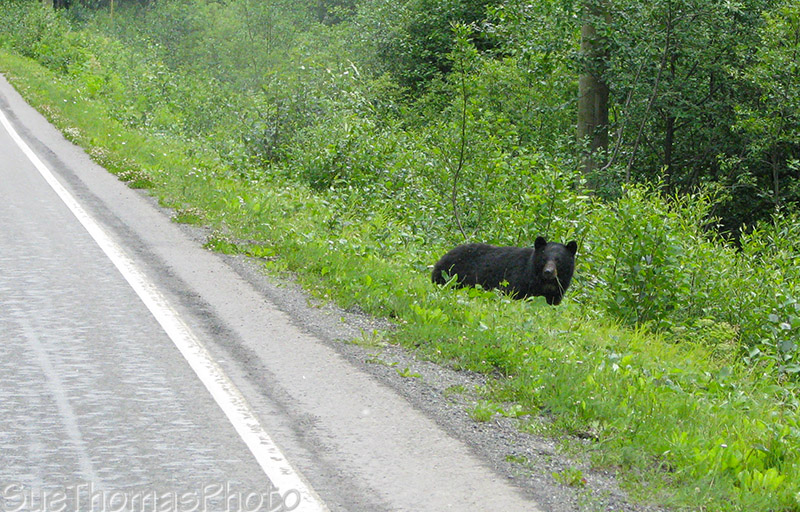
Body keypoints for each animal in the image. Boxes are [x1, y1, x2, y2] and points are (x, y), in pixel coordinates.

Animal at [432, 236, 578, 305]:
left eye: (559, 260)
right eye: (544, 258)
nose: (548, 272)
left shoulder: (556, 291)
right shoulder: (518, 281)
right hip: (452, 276)